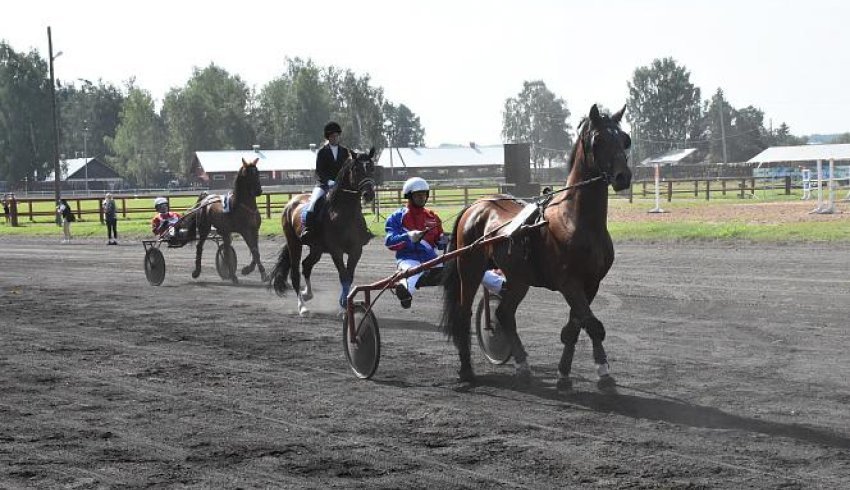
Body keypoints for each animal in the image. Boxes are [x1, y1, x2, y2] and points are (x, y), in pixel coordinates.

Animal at [270, 147, 376, 316]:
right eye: (356, 169)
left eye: (371, 168)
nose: (368, 195)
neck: (345, 213)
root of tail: (291, 203)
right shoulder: (336, 251)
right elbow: (343, 276)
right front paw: (344, 306)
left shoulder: (356, 250)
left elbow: (349, 276)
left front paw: (345, 304)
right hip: (294, 243)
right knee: (295, 273)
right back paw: (302, 307)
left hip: (317, 249)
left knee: (306, 265)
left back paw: (307, 294)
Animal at [438, 104, 628, 390]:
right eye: (599, 140)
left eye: (625, 139)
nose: (623, 176)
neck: (576, 220)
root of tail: (475, 205)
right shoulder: (568, 282)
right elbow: (592, 324)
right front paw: (604, 374)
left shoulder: (591, 283)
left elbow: (575, 327)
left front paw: (564, 374)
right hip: (469, 269)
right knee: (463, 313)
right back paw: (467, 371)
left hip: (518, 277)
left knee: (504, 313)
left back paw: (522, 366)